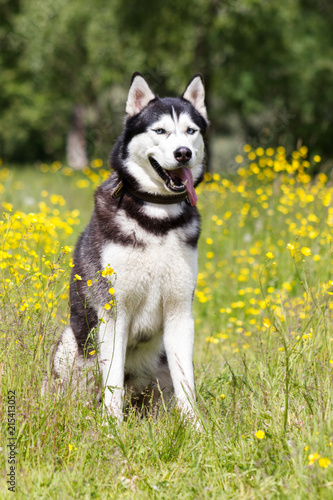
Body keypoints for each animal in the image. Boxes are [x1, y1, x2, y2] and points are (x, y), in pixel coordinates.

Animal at [52, 72, 208, 424]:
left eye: (191, 131)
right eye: (160, 130)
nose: (183, 153)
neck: (157, 220)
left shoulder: (181, 312)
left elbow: (187, 383)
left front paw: (195, 429)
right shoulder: (114, 312)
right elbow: (113, 383)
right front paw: (112, 428)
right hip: (71, 343)